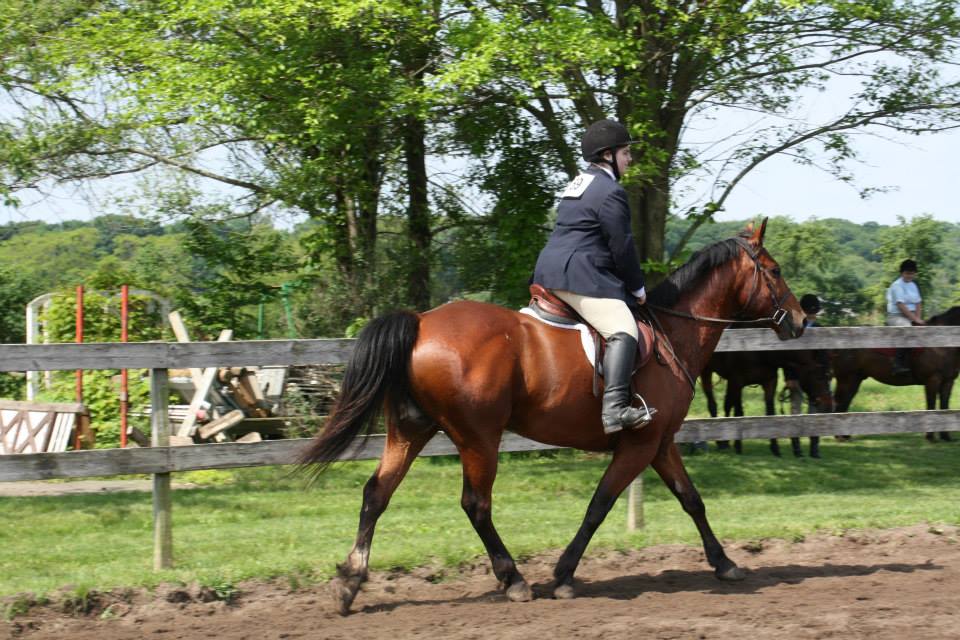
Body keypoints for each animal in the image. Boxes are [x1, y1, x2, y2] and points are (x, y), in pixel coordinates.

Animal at [300, 221, 808, 616]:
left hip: (411, 432)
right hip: (478, 438)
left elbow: (692, 500)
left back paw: (349, 582)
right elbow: (599, 505)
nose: (801, 320)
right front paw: (563, 575)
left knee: (376, 494)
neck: (672, 332)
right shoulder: (639, 445)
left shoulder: (660, 443)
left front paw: (724, 563)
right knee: (475, 504)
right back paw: (513, 580)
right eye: (775, 271)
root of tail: (421, 322)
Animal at [700, 348, 836, 458]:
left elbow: (770, 412)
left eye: (830, 375)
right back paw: (720, 442)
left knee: (727, 404)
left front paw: (775, 448)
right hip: (706, 371)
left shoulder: (770, 381)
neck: (760, 353)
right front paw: (738, 446)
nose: (829, 406)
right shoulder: (737, 381)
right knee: (713, 404)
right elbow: (739, 412)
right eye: (818, 377)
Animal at [828, 304, 956, 440]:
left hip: (855, 379)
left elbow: (944, 406)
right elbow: (931, 405)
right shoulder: (932, 380)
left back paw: (844, 435)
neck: (939, 345)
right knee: (841, 400)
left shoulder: (948, 381)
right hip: (847, 378)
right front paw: (930, 436)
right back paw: (840, 436)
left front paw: (945, 436)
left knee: (846, 400)